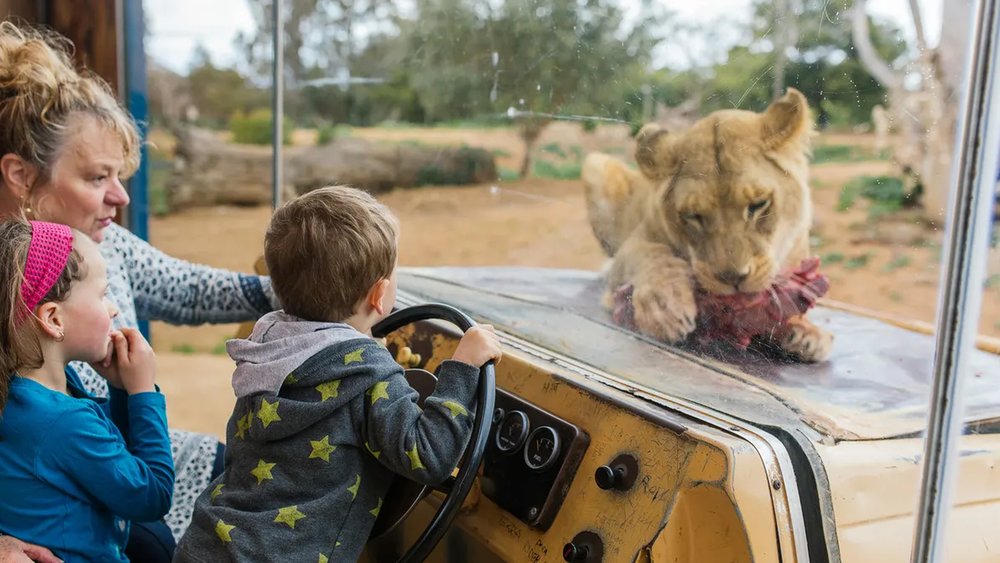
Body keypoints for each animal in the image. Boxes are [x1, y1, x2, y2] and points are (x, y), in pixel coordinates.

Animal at [583, 88, 833, 362]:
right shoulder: (635, 243)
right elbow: (651, 253)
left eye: (758, 204)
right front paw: (665, 306)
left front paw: (805, 330)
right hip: (597, 164)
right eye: (694, 216)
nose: (733, 278)